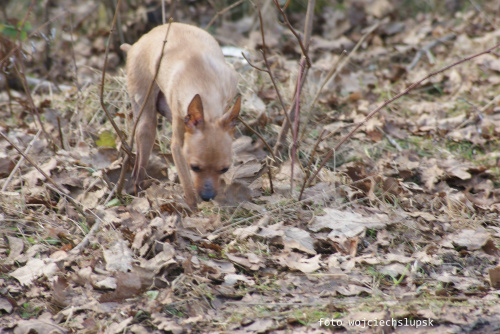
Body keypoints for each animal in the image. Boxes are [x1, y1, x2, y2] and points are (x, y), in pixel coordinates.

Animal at [120, 22, 239, 210]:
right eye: (195, 167)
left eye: (224, 169)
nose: (207, 197)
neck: (204, 83)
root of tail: (136, 44)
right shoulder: (178, 146)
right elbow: (187, 184)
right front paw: (194, 211)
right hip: (145, 120)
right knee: (139, 165)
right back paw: (137, 192)